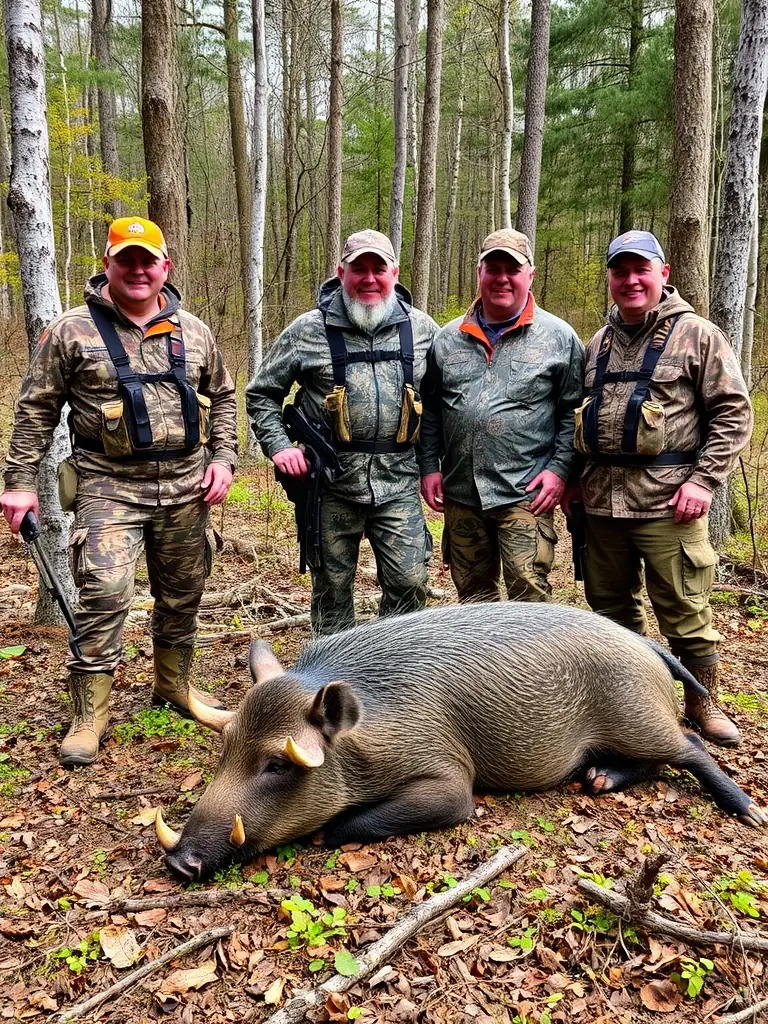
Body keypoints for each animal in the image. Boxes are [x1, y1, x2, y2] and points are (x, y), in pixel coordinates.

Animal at [156, 603, 766, 881]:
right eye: (226, 747)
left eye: (276, 766)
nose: (179, 863)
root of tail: (648, 645)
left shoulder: (448, 777)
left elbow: (435, 806)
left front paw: (326, 831)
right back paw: (596, 781)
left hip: (638, 715)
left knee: (690, 746)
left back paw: (750, 813)